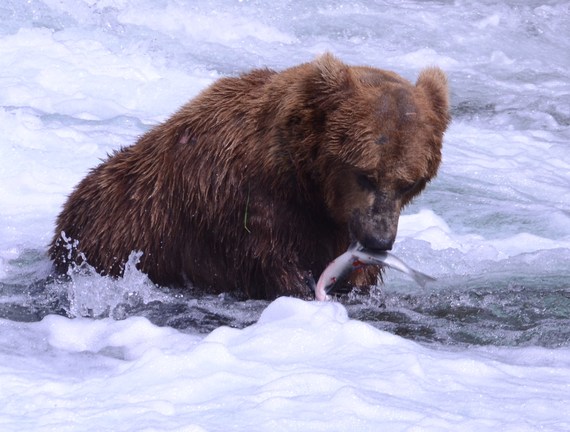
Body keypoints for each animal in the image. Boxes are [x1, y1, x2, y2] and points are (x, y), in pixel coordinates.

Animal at [48, 54, 448, 298]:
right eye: (365, 174)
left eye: (409, 182)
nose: (379, 239)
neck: (302, 181)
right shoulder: (238, 206)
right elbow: (273, 265)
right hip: (109, 237)